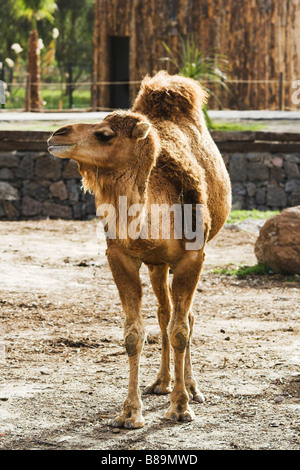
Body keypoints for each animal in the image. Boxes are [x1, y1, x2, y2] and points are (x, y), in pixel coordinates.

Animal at [47, 71, 232, 428]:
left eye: (104, 134)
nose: (56, 134)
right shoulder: (121, 257)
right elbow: (134, 333)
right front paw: (130, 413)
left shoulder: (193, 256)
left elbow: (181, 329)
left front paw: (180, 408)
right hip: (157, 264)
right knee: (164, 313)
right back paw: (161, 382)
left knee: (184, 316)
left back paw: (191, 387)